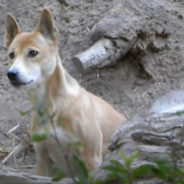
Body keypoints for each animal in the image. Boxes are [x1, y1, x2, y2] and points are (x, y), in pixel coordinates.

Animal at [5, 9, 126, 176]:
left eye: (33, 53)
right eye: (12, 55)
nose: (11, 74)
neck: (51, 106)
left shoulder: (91, 158)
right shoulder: (42, 159)